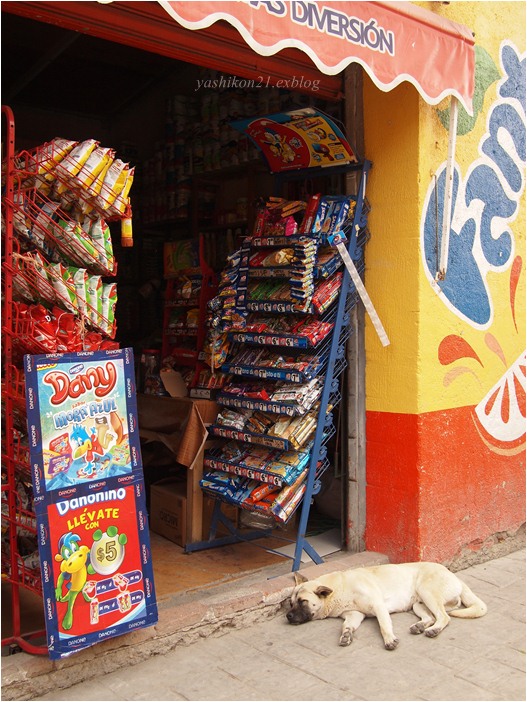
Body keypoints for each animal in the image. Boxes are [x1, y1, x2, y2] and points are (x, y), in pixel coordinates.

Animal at [286, 564, 488, 652]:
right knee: (432, 617)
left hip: (426, 592)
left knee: (444, 617)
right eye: (291, 603)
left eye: (302, 601)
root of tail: (452, 574)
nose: (288, 616)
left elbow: (384, 625)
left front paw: (389, 639)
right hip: (418, 603)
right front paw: (346, 635)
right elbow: (346, 626)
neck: (339, 588)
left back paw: (434, 630)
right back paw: (420, 626)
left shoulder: (378, 605)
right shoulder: (354, 615)